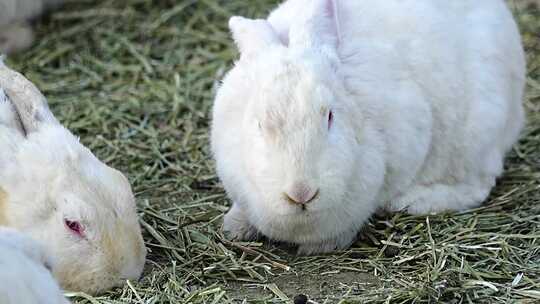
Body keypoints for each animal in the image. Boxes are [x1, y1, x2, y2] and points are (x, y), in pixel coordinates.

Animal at [213, 0, 524, 254]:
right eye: (260, 123)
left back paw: (413, 201)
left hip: (477, 138)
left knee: (478, 186)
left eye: (330, 116)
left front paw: (321, 245)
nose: (301, 192)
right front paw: (234, 226)